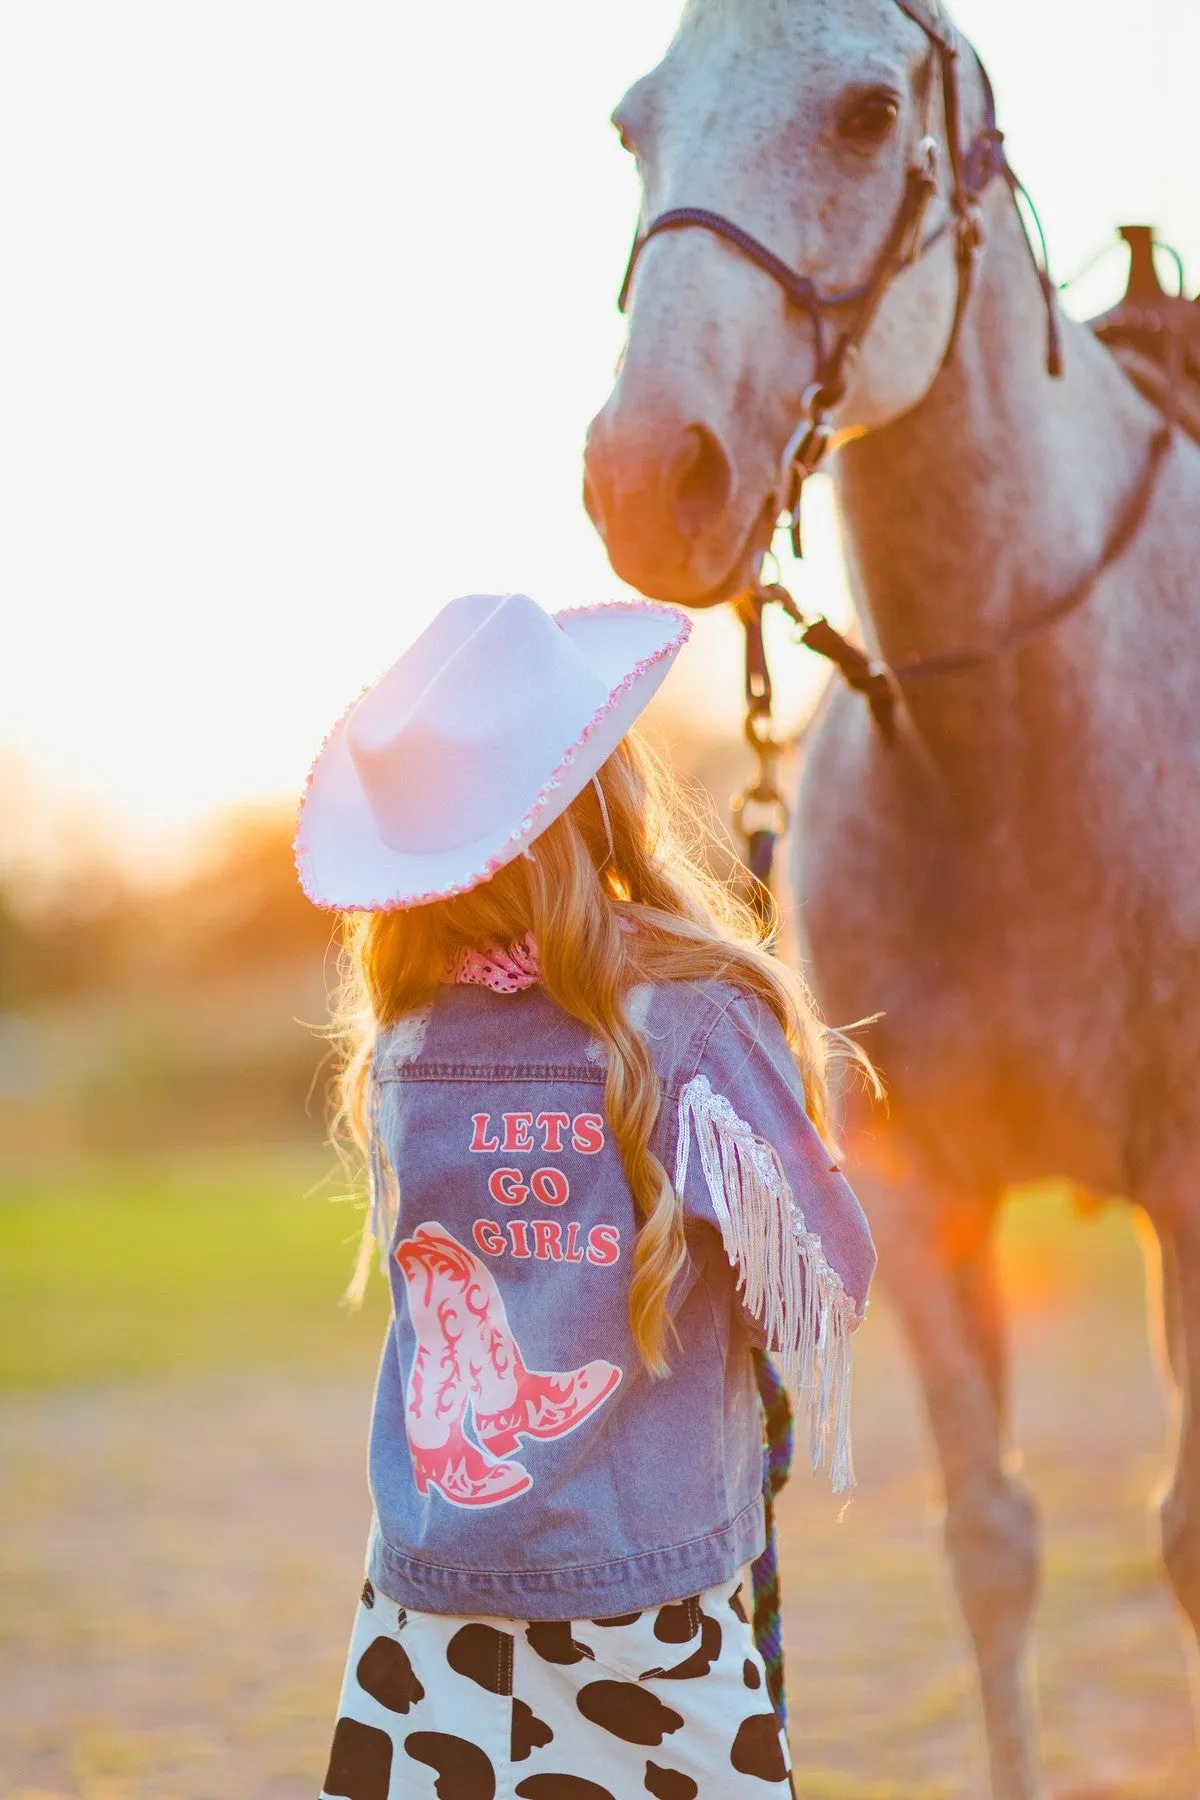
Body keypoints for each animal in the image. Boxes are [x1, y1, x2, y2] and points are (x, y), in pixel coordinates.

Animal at [579, 7, 1200, 1792]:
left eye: (867, 114)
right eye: (635, 124)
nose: (648, 476)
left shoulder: (1192, 1187)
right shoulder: (928, 1204)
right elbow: (990, 1547)